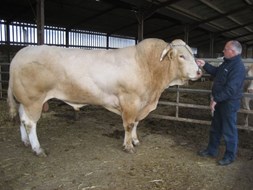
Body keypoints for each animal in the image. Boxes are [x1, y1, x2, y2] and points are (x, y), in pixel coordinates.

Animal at [7, 38, 202, 156]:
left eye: (193, 55)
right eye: (182, 56)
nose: (199, 72)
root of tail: (22, 53)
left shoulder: (140, 104)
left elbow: (136, 123)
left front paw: (135, 140)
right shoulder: (130, 100)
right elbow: (129, 124)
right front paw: (128, 146)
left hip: (25, 101)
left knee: (22, 119)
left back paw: (25, 142)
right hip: (33, 100)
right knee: (30, 123)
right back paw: (37, 148)